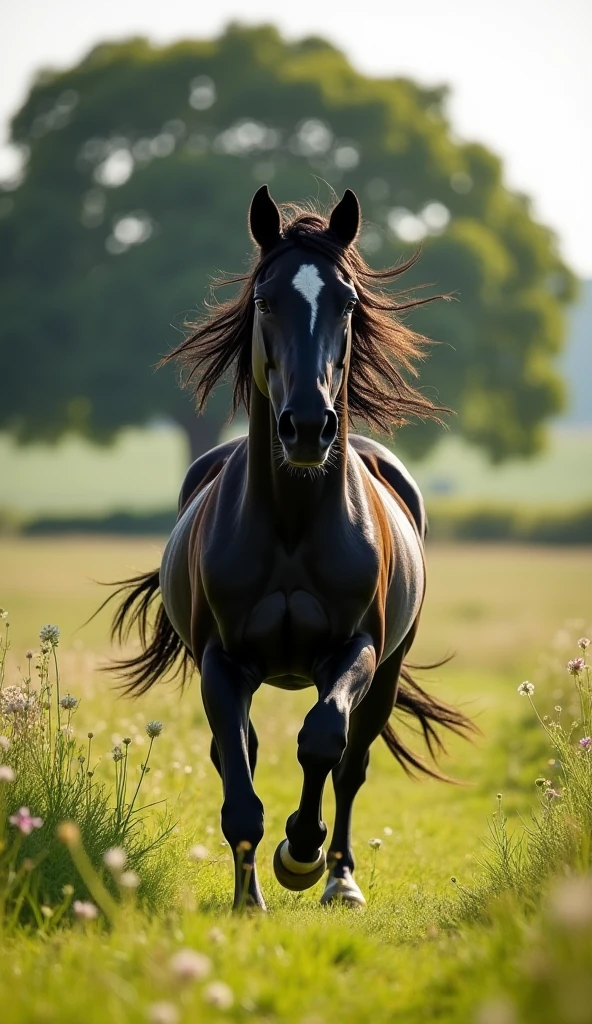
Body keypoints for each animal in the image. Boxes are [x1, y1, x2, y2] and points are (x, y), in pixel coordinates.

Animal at [107, 186, 475, 911]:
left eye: (348, 301)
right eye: (265, 299)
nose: (307, 426)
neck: (293, 525)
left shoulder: (357, 649)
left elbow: (322, 740)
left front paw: (300, 854)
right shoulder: (223, 662)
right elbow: (239, 783)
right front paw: (249, 897)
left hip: (389, 672)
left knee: (353, 761)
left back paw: (339, 878)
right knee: (238, 753)